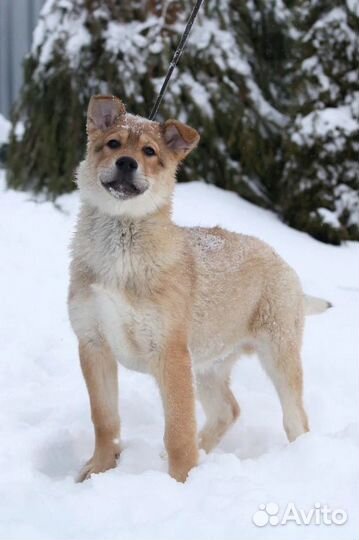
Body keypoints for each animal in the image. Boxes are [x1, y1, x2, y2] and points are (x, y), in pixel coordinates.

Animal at [68, 95, 332, 484]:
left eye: (149, 151)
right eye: (113, 143)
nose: (126, 163)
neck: (120, 248)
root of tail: (282, 262)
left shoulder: (171, 353)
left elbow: (178, 429)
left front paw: (181, 482)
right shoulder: (93, 344)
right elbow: (105, 420)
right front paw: (98, 471)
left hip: (278, 354)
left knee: (295, 418)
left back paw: (298, 458)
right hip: (208, 364)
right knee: (228, 410)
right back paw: (202, 452)